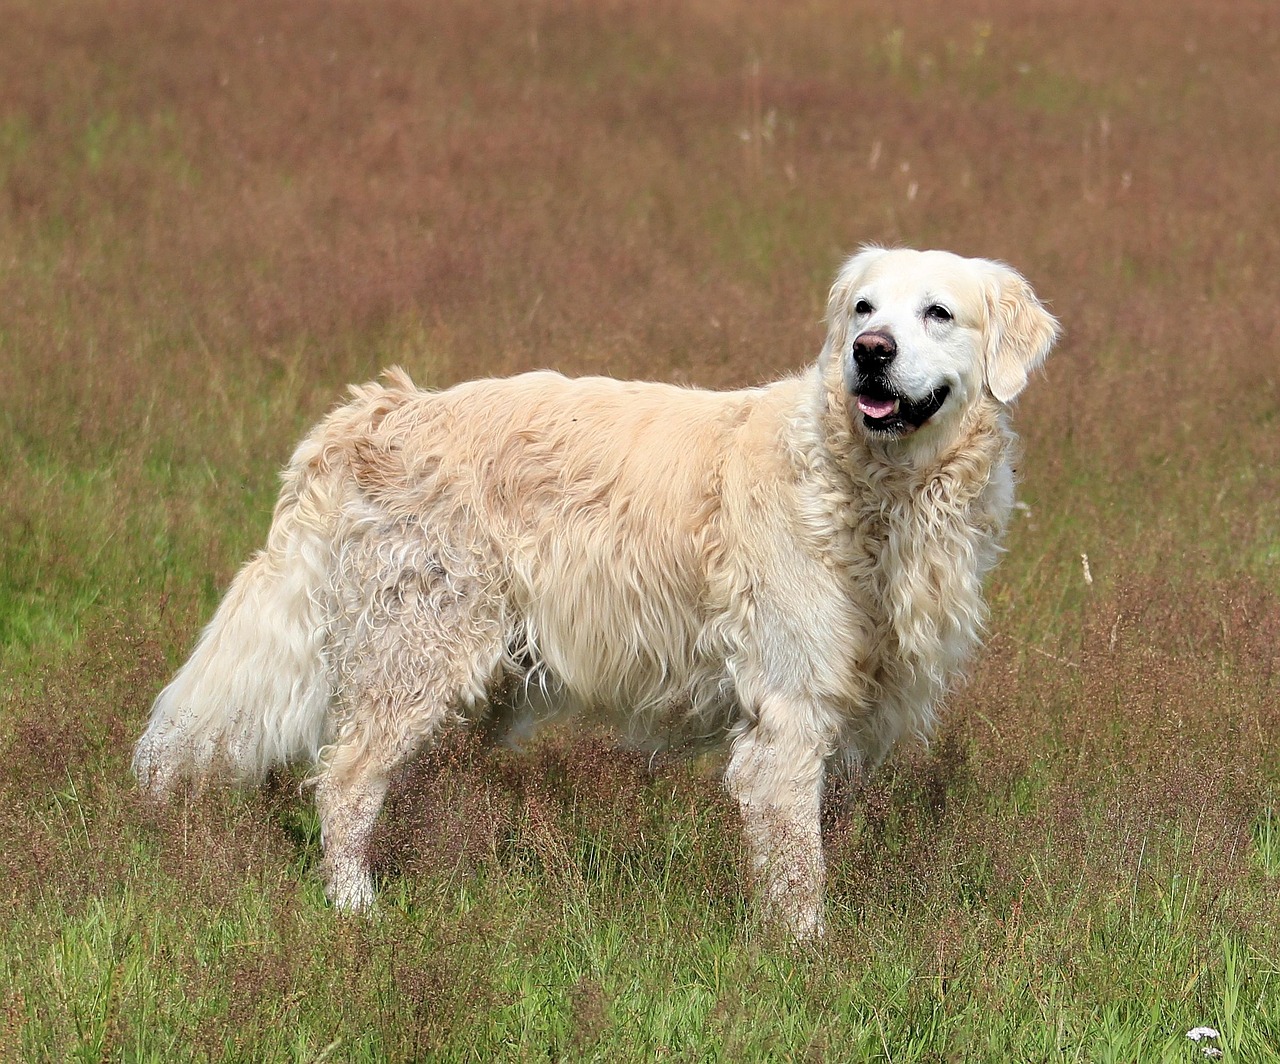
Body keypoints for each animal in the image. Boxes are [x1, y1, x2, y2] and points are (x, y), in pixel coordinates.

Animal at [137, 245, 1059, 937]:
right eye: (865, 309)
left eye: (937, 313)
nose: (870, 352)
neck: (877, 490)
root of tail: (379, 411)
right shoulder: (789, 714)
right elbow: (798, 868)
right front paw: (807, 959)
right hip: (422, 649)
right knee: (346, 779)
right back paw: (355, 909)